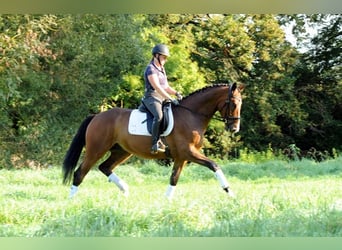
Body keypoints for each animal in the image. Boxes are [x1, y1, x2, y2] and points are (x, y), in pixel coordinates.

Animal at [61, 83, 243, 200]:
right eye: (233, 103)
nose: (234, 128)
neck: (191, 115)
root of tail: (96, 116)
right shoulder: (189, 152)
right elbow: (214, 165)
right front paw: (230, 192)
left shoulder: (181, 157)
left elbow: (174, 178)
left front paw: (166, 201)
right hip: (96, 149)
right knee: (80, 173)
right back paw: (71, 200)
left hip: (122, 151)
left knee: (105, 167)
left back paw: (125, 190)